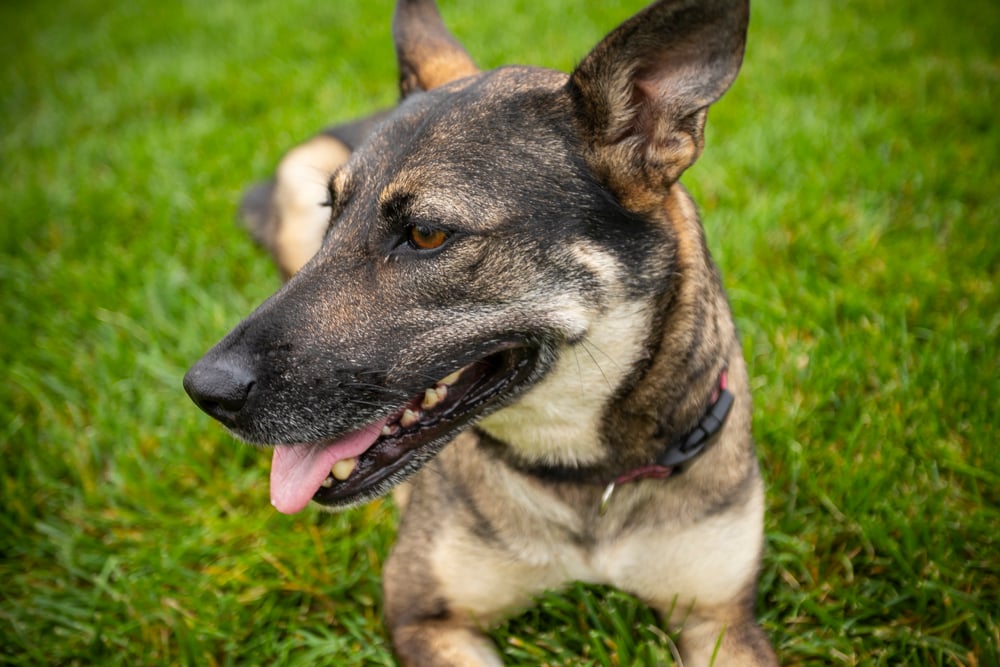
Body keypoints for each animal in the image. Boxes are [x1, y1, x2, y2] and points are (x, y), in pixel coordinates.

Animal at [184, 2, 776, 664]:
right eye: (329, 214)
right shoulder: (424, 615)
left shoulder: (720, 618)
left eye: (426, 235)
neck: (581, 480)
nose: (205, 391)